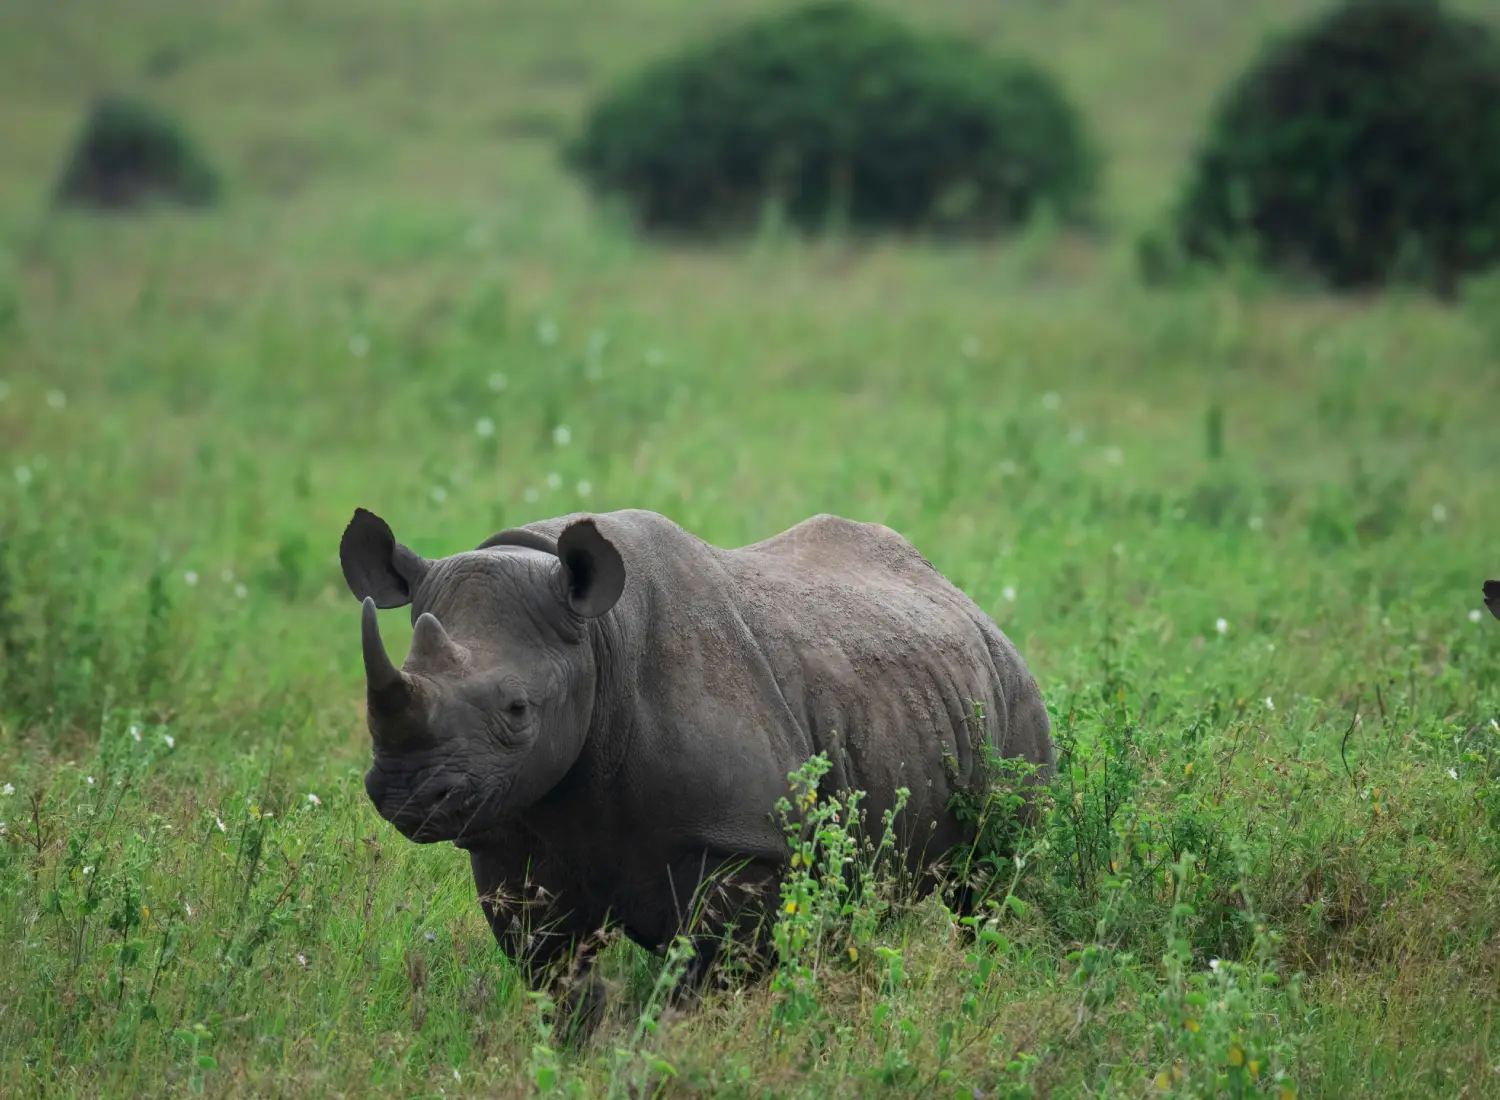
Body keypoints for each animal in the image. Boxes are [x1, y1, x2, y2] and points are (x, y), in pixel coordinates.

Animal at [339, 506, 1054, 1034]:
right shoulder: (508, 832)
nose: (405, 794)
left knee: (991, 881)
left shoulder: (742, 844)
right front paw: (574, 1051)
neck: (596, 644)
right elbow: (557, 976)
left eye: (517, 710)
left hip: (1012, 695)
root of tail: (964, 600)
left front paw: (689, 1049)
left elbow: (708, 979)